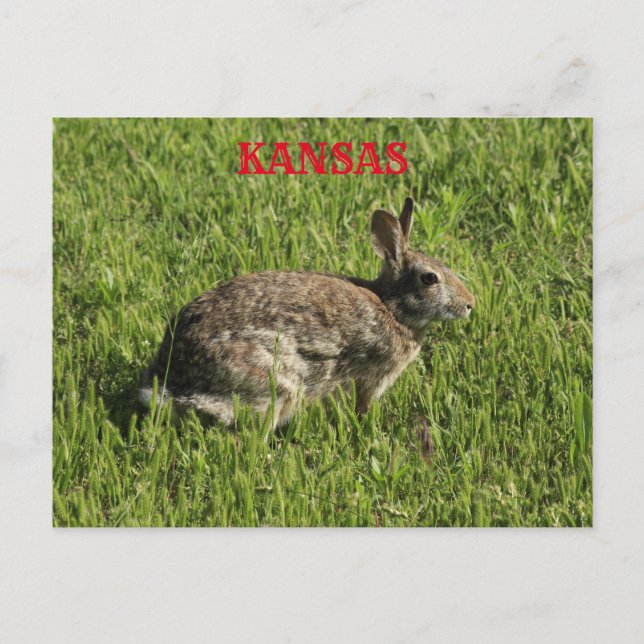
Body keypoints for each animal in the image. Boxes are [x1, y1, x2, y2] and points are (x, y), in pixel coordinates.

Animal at [139, 197, 475, 428]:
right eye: (429, 278)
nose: (470, 304)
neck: (392, 307)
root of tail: (175, 381)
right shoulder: (372, 378)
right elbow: (364, 405)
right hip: (276, 382)